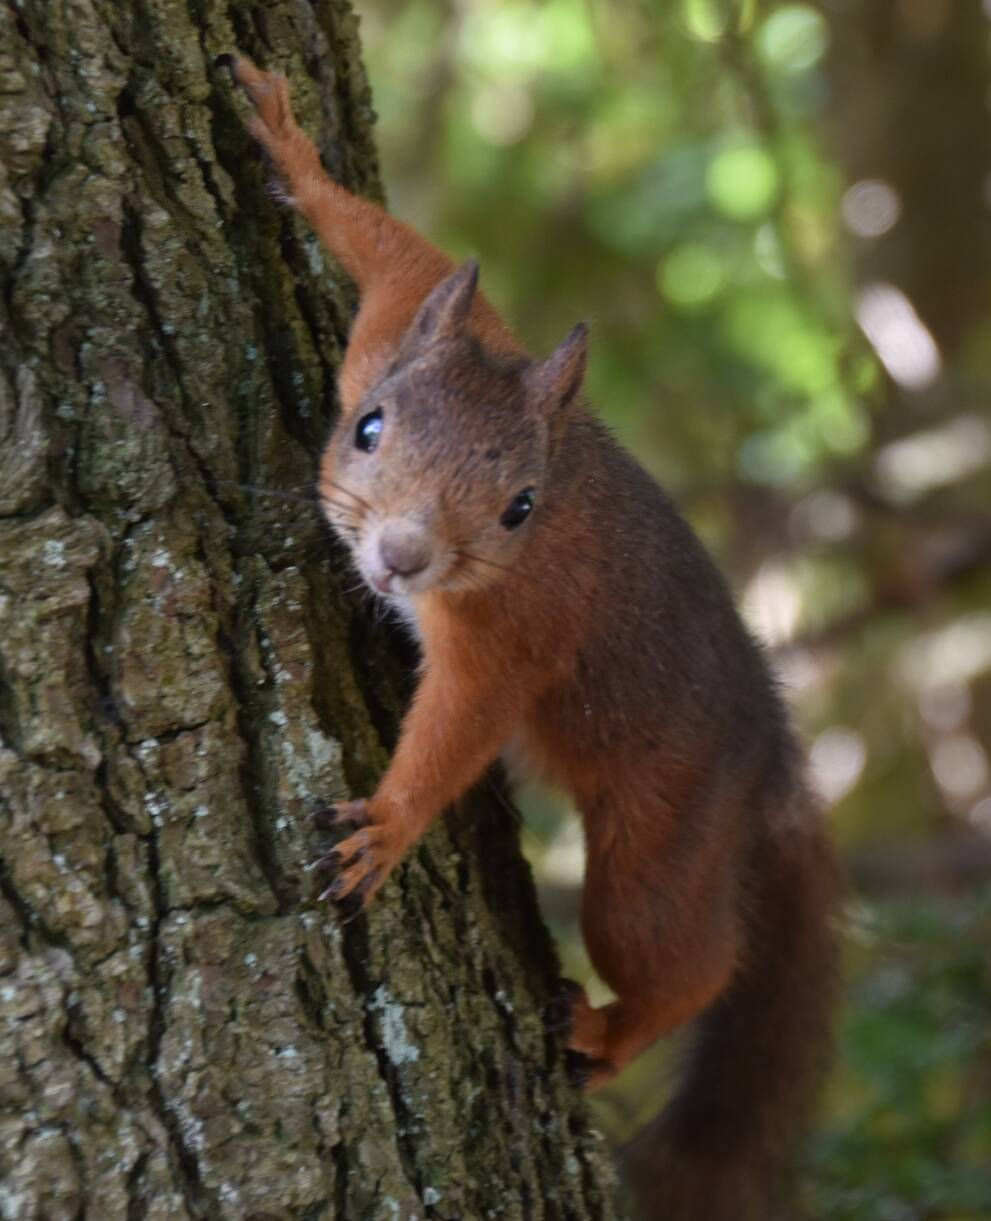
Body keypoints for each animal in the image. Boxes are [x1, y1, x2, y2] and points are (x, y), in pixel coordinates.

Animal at [224, 55, 838, 1221]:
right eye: (367, 426)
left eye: (518, 507)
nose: (402, 559)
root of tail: (772, 760)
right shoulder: (398, 334)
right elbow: (400, 253)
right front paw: (296, 157)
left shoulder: (506, 637)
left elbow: (461, 726)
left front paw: (387, 823)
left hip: (663, 834)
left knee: (686, 957)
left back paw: (608, 1029)